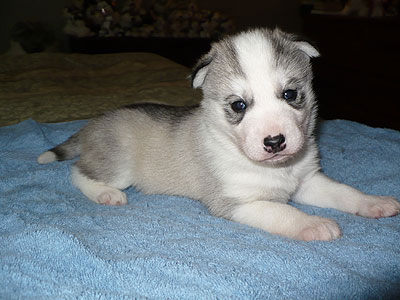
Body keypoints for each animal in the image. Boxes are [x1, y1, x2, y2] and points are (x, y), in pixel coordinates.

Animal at [38, 27, 400, 240]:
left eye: (290, 94)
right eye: (238, 105)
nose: (275, 142)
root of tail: (95, 122)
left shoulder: (308, 181)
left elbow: (344, 192)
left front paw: (374, 203)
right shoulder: (236, 202)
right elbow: (283, 212)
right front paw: (313, 224)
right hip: (119, 164)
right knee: (77, 172)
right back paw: (105, 194)